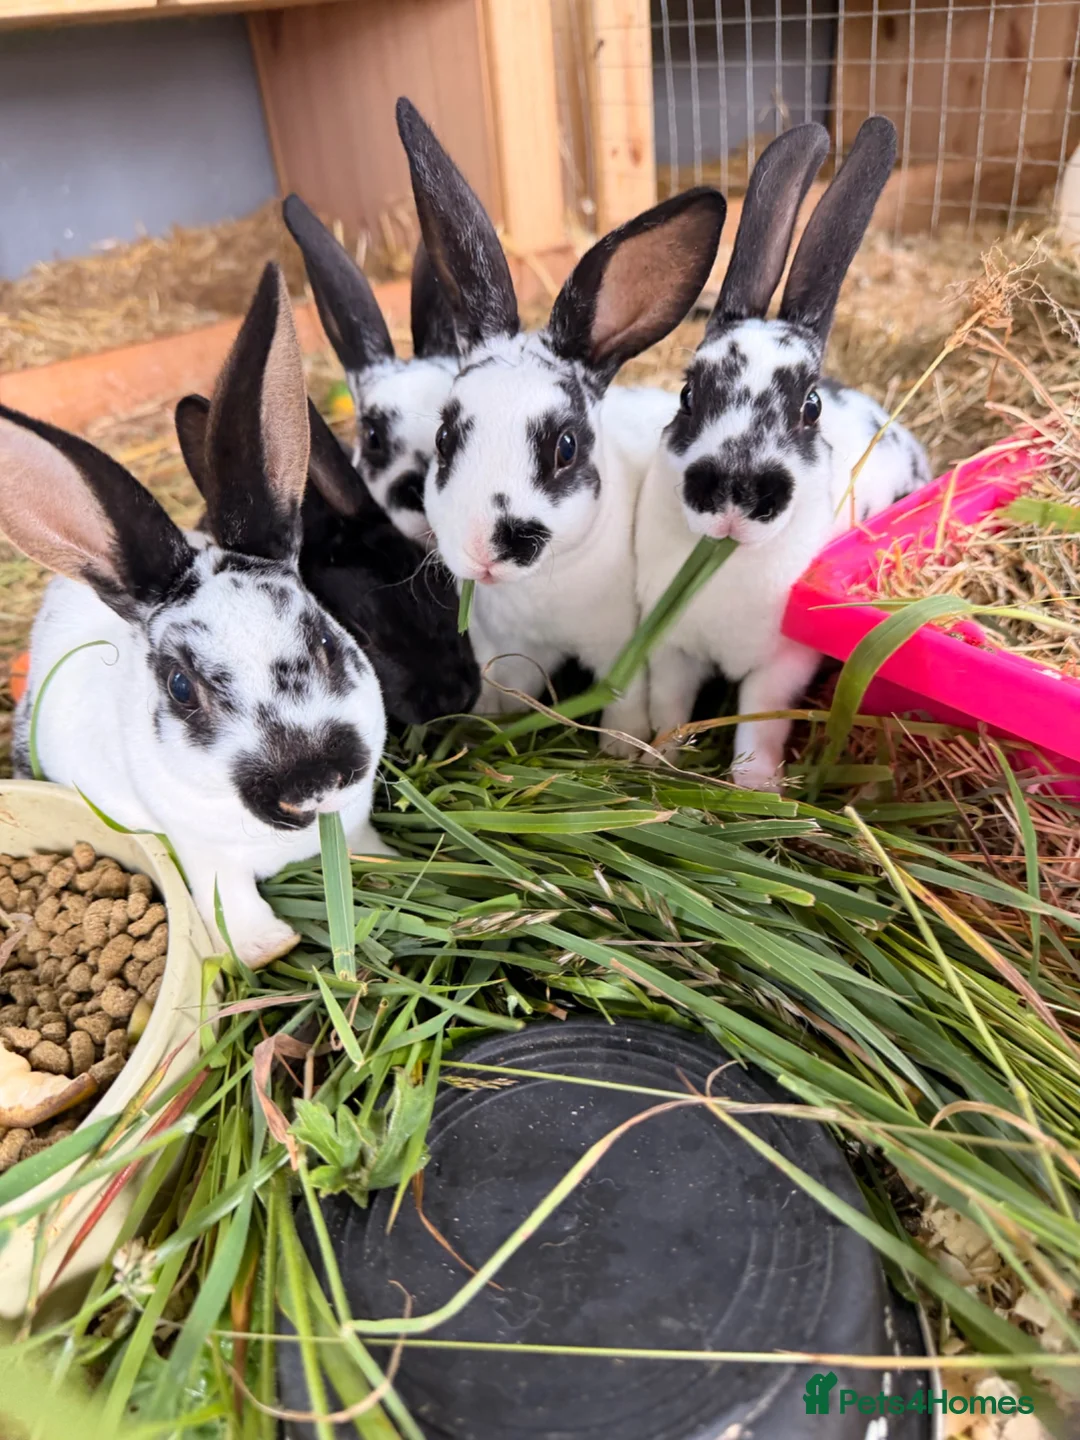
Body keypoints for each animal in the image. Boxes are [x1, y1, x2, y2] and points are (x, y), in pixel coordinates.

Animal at [0, 263, 390, 968]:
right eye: (182, 688)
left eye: (324, 638)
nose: (314, 781)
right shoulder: (203, 857)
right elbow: (234, 906)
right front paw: (265, 949)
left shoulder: (353, 815)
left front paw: (384, 864)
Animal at [395, 96, 726, 755]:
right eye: (445, 438)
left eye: (566, 447)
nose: (486, 551)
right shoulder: (504, 650)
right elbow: (504, 692)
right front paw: (487, 722)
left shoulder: (621, 644)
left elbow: (625, 702)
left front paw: (622, 749)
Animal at [635, 117, 931, 792]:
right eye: (687, 394)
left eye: (810, 407)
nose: (733, 493)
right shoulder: (671, 649)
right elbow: (671, 709)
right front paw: (657, 761)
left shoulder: (782, 665)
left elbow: (758, 726)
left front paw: (756, 787)